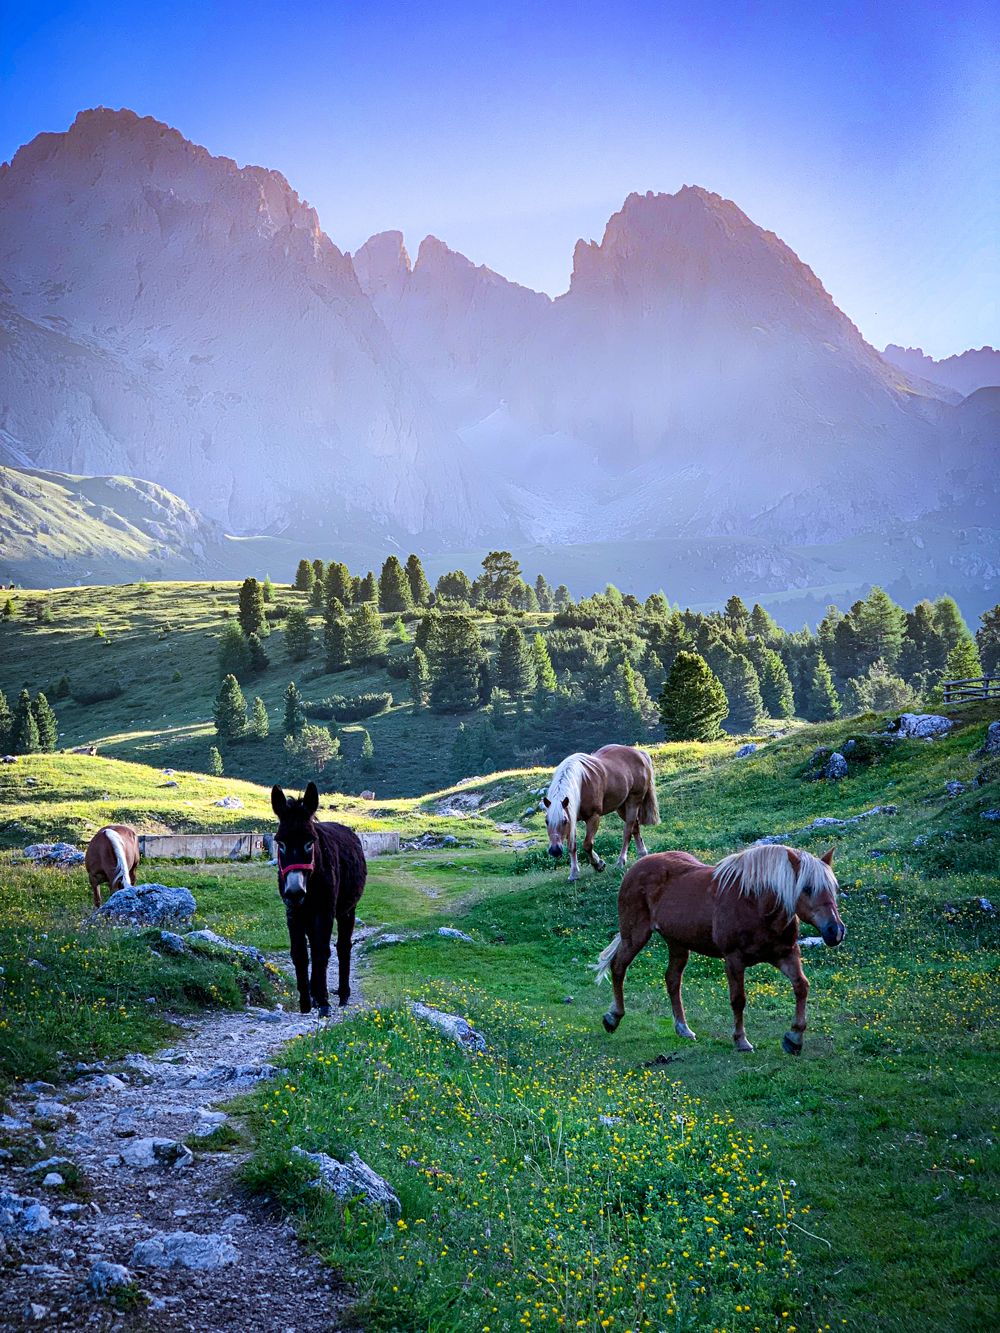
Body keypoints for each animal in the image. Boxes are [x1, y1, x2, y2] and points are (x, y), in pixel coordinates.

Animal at [271, 782, 367, 1016]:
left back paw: (342, 995)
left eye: (310, 842)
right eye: (280, 843)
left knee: (343, 946)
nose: (295, 892)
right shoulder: (293, 912)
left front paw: (323, 1002)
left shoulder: (325, 910)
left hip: (348, 910)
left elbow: (321, 951)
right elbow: (300, 954)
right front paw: (306, 1003)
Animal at [543, 744, 659, 882]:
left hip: (633, 801)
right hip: (621, 806)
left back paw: (620, 861)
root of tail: (640, 753)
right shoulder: (573, 818)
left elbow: (587, 844)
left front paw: (598, 864)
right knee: (635, 826)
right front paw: (574, 873)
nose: (555, 851)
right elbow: (572, 846)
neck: (581, 784)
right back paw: (642, 853)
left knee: (628, 831)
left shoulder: (593, 817)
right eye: (547, 821)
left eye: (564, 821)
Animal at [593, 844, 845, 1055]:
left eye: (833, 888)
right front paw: (741, 1041)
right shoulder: (734, 959)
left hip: (677, 943)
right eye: (807, 888)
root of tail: (636, 867)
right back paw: (613, 1018)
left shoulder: (786, 954)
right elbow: (738, 999)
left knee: (672, 980)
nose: (835, 931)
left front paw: (794, 1038)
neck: (756, 904)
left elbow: (802, 987)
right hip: (635, 935)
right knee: (618, 967)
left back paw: (683, 1028)